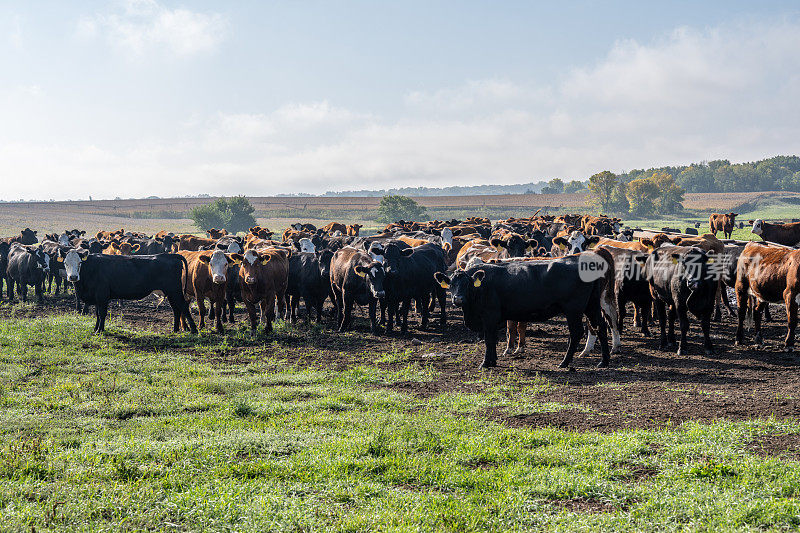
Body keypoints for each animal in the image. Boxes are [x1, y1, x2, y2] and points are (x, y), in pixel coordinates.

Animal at [57, 249, 197, 332]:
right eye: (65, 263)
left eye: (80, 262)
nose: (73, 277)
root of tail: (170, 255)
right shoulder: (97, 298)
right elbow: (97, 314)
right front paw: (96, 329)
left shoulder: (102, 296)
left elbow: (101, 314)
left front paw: (100, 331)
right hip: (171, 293)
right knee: (176, 309)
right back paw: (175, 330)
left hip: (175, 292)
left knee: (184, 307)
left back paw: (194, 330)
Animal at [434, 255, 608, 370]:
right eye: (451, 284)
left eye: (468, 284)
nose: (458, 299)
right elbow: (494, 339)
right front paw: (493, 360)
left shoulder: (489, 316)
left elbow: (489, 340)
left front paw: (485, 363)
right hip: (591, 306)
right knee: (601, 327)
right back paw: (604, 362)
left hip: (573, 309)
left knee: (576, 332)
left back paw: (565, 362)